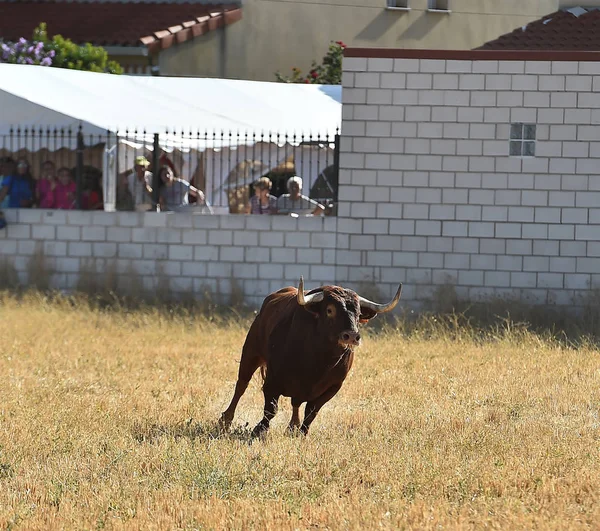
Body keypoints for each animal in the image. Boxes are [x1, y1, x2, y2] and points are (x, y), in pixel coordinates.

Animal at [218, 278, 400, 436]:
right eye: (329, 310)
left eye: (359, 312)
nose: (352, 336)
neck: (320, 360)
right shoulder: (272, 380)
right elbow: (271, 409)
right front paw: (260, 430)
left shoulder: (333, 387)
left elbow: (311, 411)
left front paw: (301, 432)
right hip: (251, 353)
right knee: (241, 385)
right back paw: (226, 420)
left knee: (296, 403)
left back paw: (292, 426)